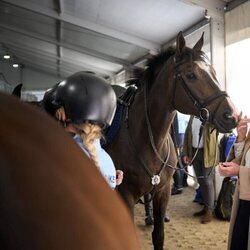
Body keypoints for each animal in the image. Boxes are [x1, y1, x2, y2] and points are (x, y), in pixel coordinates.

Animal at [106, 31, 238, 250]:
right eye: (191, 75)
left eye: (213, 72)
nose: (232, 116)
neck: (147, 137)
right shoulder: (125, 195)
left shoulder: (162, 190)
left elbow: (158, 235)